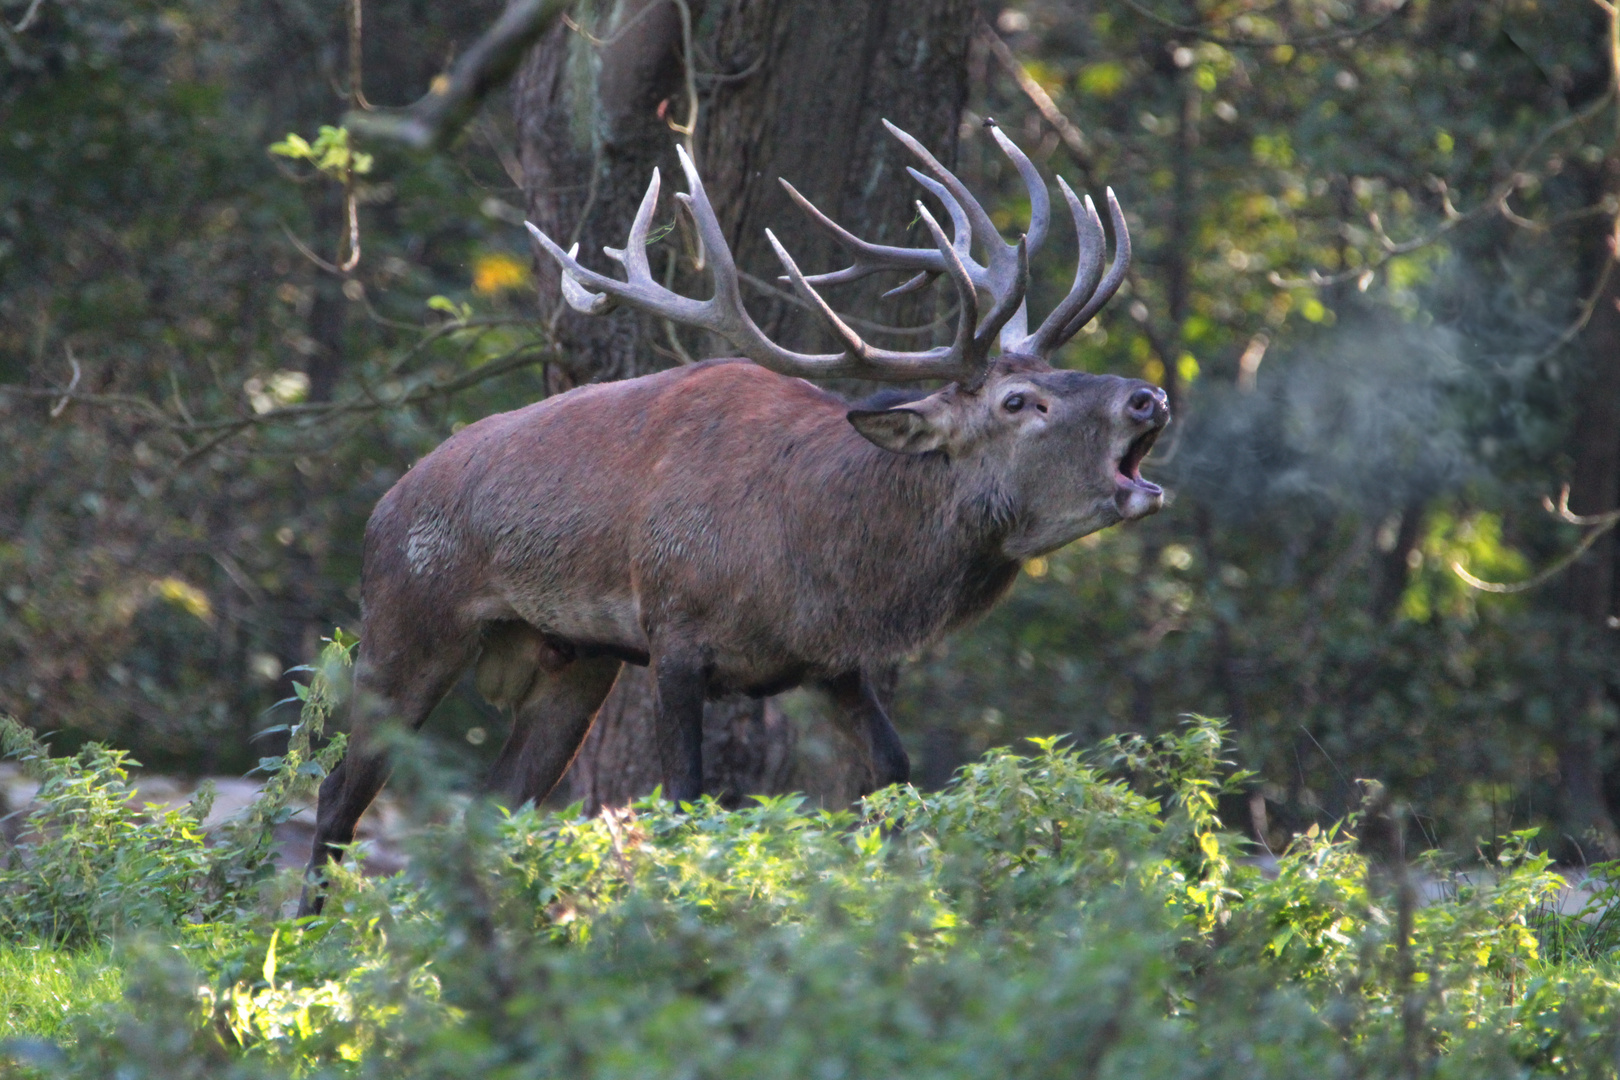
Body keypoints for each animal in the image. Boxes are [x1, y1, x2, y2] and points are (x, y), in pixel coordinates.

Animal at [298, 120, 1166, 913]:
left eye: (1054, 369)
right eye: (1019, 400)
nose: (1148, 396)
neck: (813, 548)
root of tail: (381, 508)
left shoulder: (831, 661)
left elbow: (893, 774)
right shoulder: (676, 633)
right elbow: (686, 800)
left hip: (574, 659)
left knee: (494, 805)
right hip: (409, 621)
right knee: (339, 794)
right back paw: (309, 935)